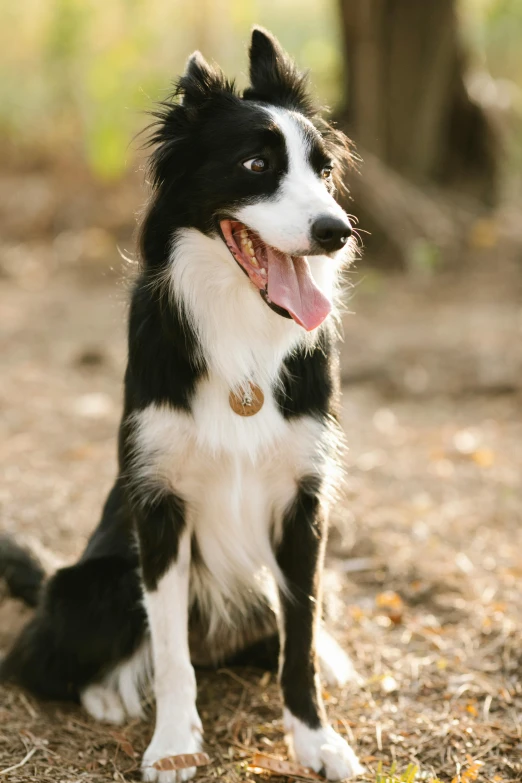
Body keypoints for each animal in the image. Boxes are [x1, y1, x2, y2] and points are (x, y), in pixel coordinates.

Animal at [1, 27, 362, 780]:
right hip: (95, 583)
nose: (336, 230)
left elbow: (301, 642)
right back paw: (106, 694)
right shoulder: (160, 504)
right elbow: (169, 651)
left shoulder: (303, 507)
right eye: (256, 163)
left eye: (323, 172)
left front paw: (316, 739)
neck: (240, 331)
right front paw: (173, 743)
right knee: (36, 660)